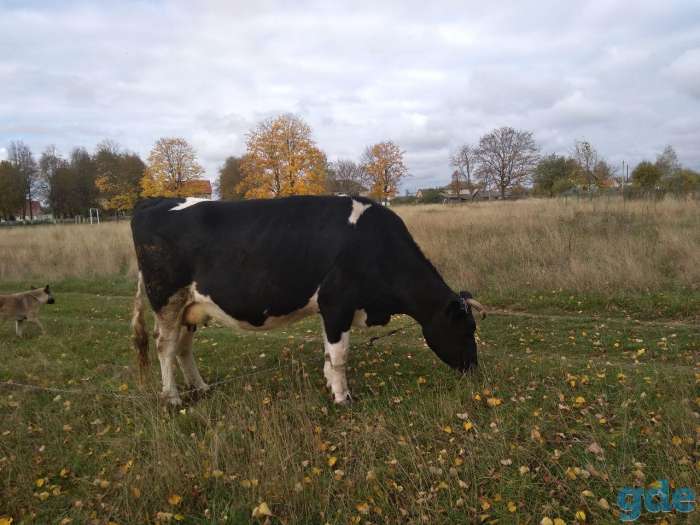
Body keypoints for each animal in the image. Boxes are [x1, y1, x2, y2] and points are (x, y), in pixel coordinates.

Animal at [131, 195, 486, 406]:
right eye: (466, 329)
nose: (474, 368)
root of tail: (154, 203)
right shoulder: (337, 304)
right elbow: (339, 356)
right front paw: (343, 398)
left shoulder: (331, 310)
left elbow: (329, 354)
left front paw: (331, 386)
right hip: (167, 298)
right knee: (165, 346)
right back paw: (173, 398)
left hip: (190, 306)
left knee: (182, 348)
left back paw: (201, 388)